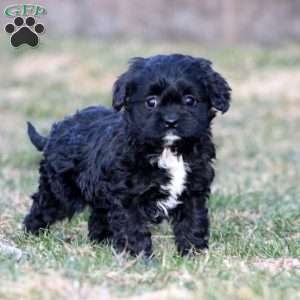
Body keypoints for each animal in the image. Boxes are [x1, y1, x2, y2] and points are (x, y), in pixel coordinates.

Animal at [23, 54, 231, 255]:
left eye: (190, 100)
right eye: (151, 102)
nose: (171, 121)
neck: (168, 150)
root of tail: (54, 134)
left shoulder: (193, 191)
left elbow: (193, 223)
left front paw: (194, 254)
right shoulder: (128, 197)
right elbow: (133, 228)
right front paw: (140, 258)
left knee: (98, 217)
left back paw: (103, 243)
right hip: (59, 191)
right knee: (42, 207)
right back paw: (31, 234)